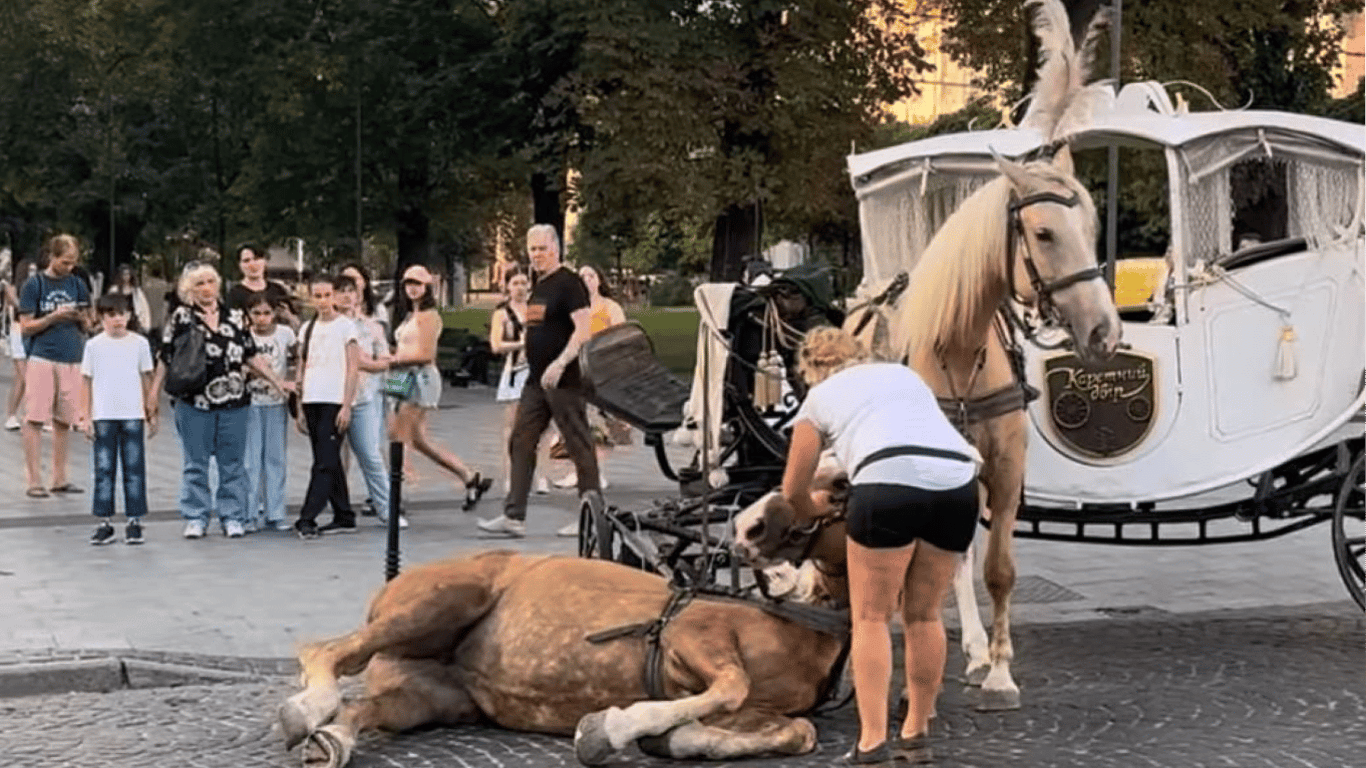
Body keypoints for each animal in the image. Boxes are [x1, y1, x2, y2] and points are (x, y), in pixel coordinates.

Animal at [275, 549, 846, 765]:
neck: (805, 625)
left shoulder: (757, 710)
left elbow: (799, 732)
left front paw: (672, 739)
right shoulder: (692, 636)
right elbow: (730, 687)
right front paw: (609, 729)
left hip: (433, 698)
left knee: (364, 708)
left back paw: (332, 738)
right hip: (441, 604)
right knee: (329, 652)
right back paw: (305, 710)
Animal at [841, 0, 1120, 705]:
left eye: (1091, 227)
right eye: (1043, 233)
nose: (1105, 332)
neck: (958, 349)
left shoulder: (1005, 461)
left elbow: (997, 566)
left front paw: (997, 667)